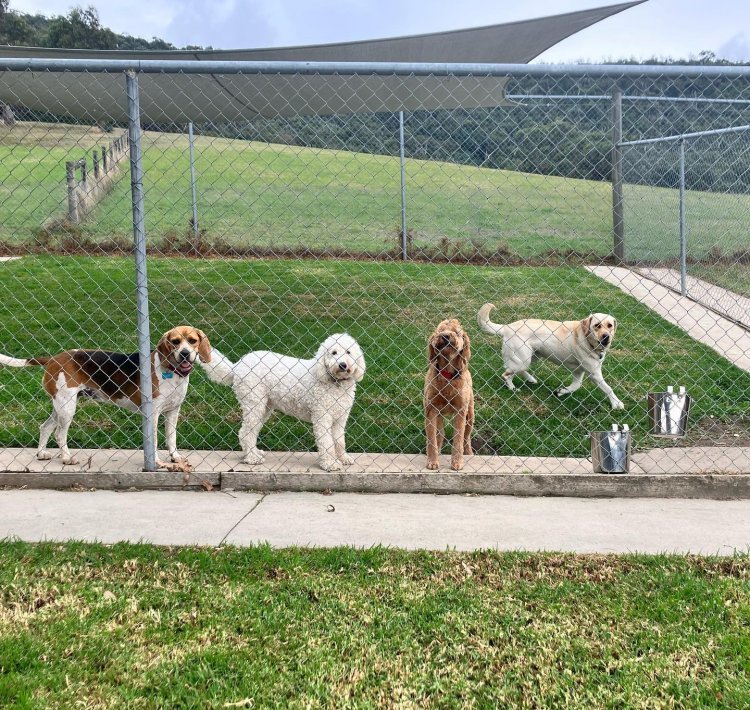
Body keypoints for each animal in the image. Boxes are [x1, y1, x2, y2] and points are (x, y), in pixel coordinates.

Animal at [198, 336, 366, 472]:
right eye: (333, 352)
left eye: (348, 352)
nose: (343, 365)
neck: (334, 382)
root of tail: (237, 366)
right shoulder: (322, 417)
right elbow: (326, 442)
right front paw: (330, 464)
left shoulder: (340, 418)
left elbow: (339, 441)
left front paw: (343, 458)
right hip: (253, 404)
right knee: (246, 432)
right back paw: (252, 458)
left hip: (264, 407)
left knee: (250, 432)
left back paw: (254, 453)